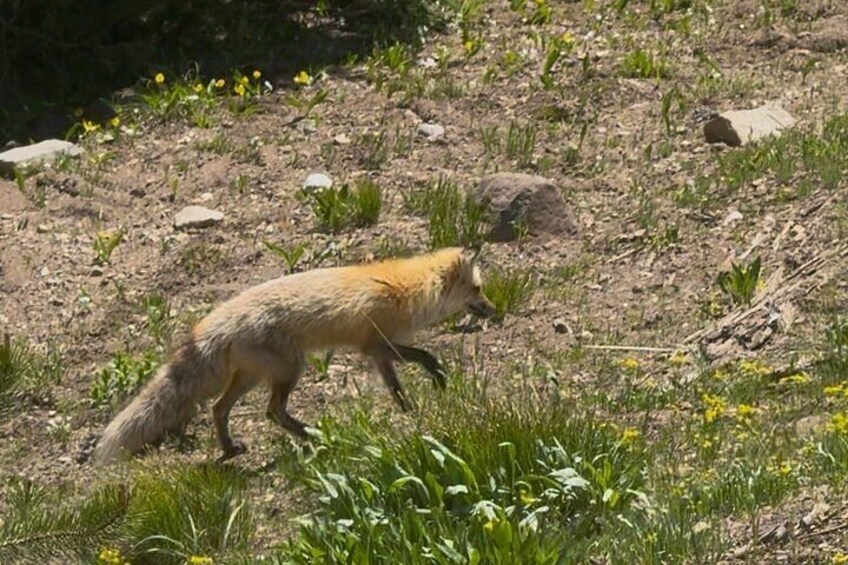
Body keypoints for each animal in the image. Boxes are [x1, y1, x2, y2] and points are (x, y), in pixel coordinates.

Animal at [92, 245, 496, 466]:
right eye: (478, 289)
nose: (495, 309)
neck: (410, 288)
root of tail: (219, 320)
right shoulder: (376, 344)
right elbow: (425, 355)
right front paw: (437, 379)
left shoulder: (378, 353)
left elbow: (396, 388)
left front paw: (409, 412)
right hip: (290, 370)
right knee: (273, 412)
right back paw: (314, 436)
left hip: (253, 376)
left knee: (219, 409)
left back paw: (231, 448)